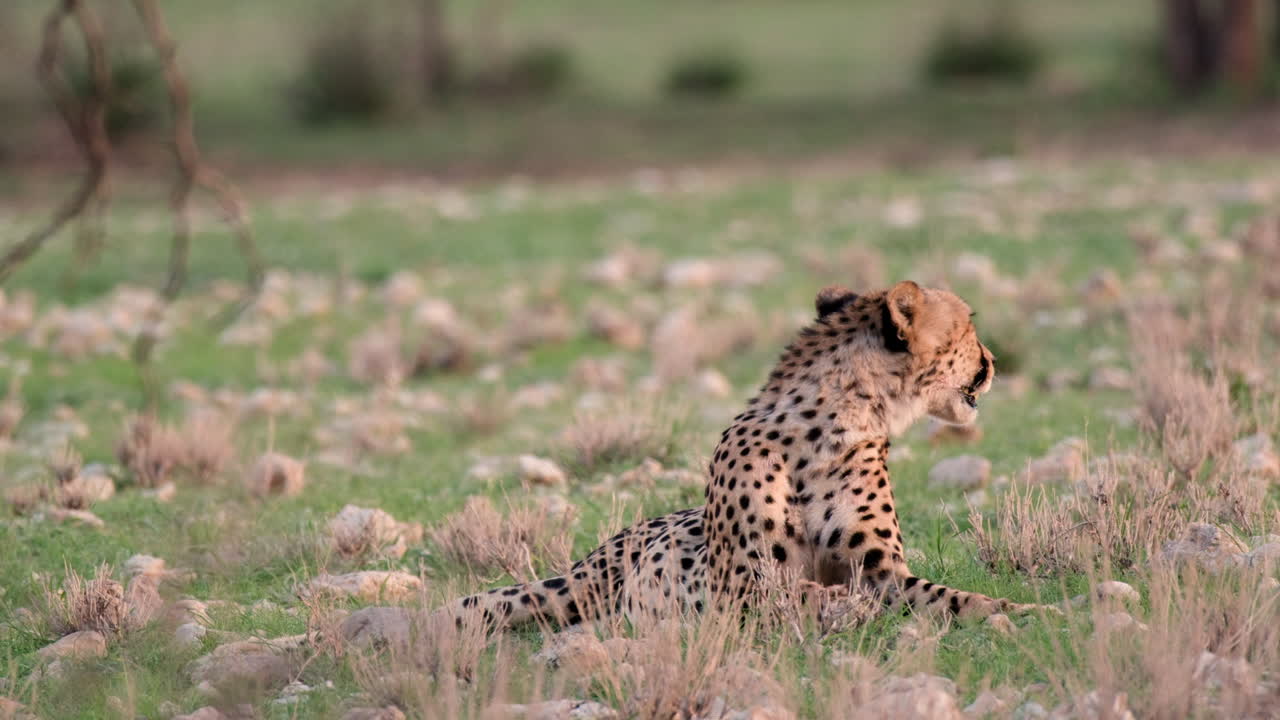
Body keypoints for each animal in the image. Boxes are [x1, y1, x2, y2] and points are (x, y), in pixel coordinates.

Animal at [442, 281, 1043, 632]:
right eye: (969, 326)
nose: (993, 361)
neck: (835, 421)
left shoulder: (881, 572)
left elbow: (957, 598)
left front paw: (1034, 611)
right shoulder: (740, 584)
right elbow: (804, 593)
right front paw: (845, 610)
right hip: (572, 587)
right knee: (493, 602)